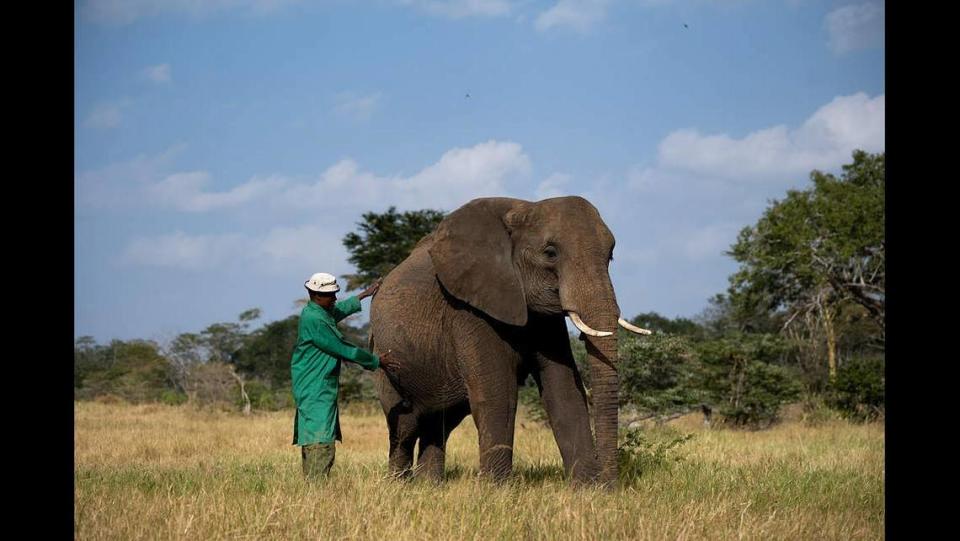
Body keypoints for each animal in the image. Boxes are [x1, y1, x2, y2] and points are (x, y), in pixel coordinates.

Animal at [372, 195, 648, 486]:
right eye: (550, 253)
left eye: (611, 255)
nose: (610, 485)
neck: (523, 208)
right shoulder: (470, 308)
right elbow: (498, 393)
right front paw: (497, 489)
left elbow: (563, 387)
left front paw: (586, 489)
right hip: (384, 361)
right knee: (405, 425)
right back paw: (399, 485)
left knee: (440, 423)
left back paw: (430, 485)